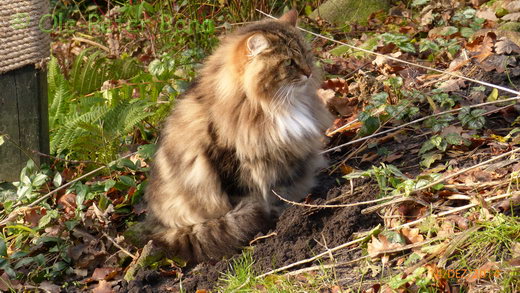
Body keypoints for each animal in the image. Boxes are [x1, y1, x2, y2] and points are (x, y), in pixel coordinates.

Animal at [145, 9, 334, 262]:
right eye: (289, 62)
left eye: (305, 54)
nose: (309, 72)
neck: (268, 106)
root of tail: (158, 224)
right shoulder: (233, 166)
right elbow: (257, 197)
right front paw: (279, 217)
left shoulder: (286, 159)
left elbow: (284, 189)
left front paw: (293, 205)